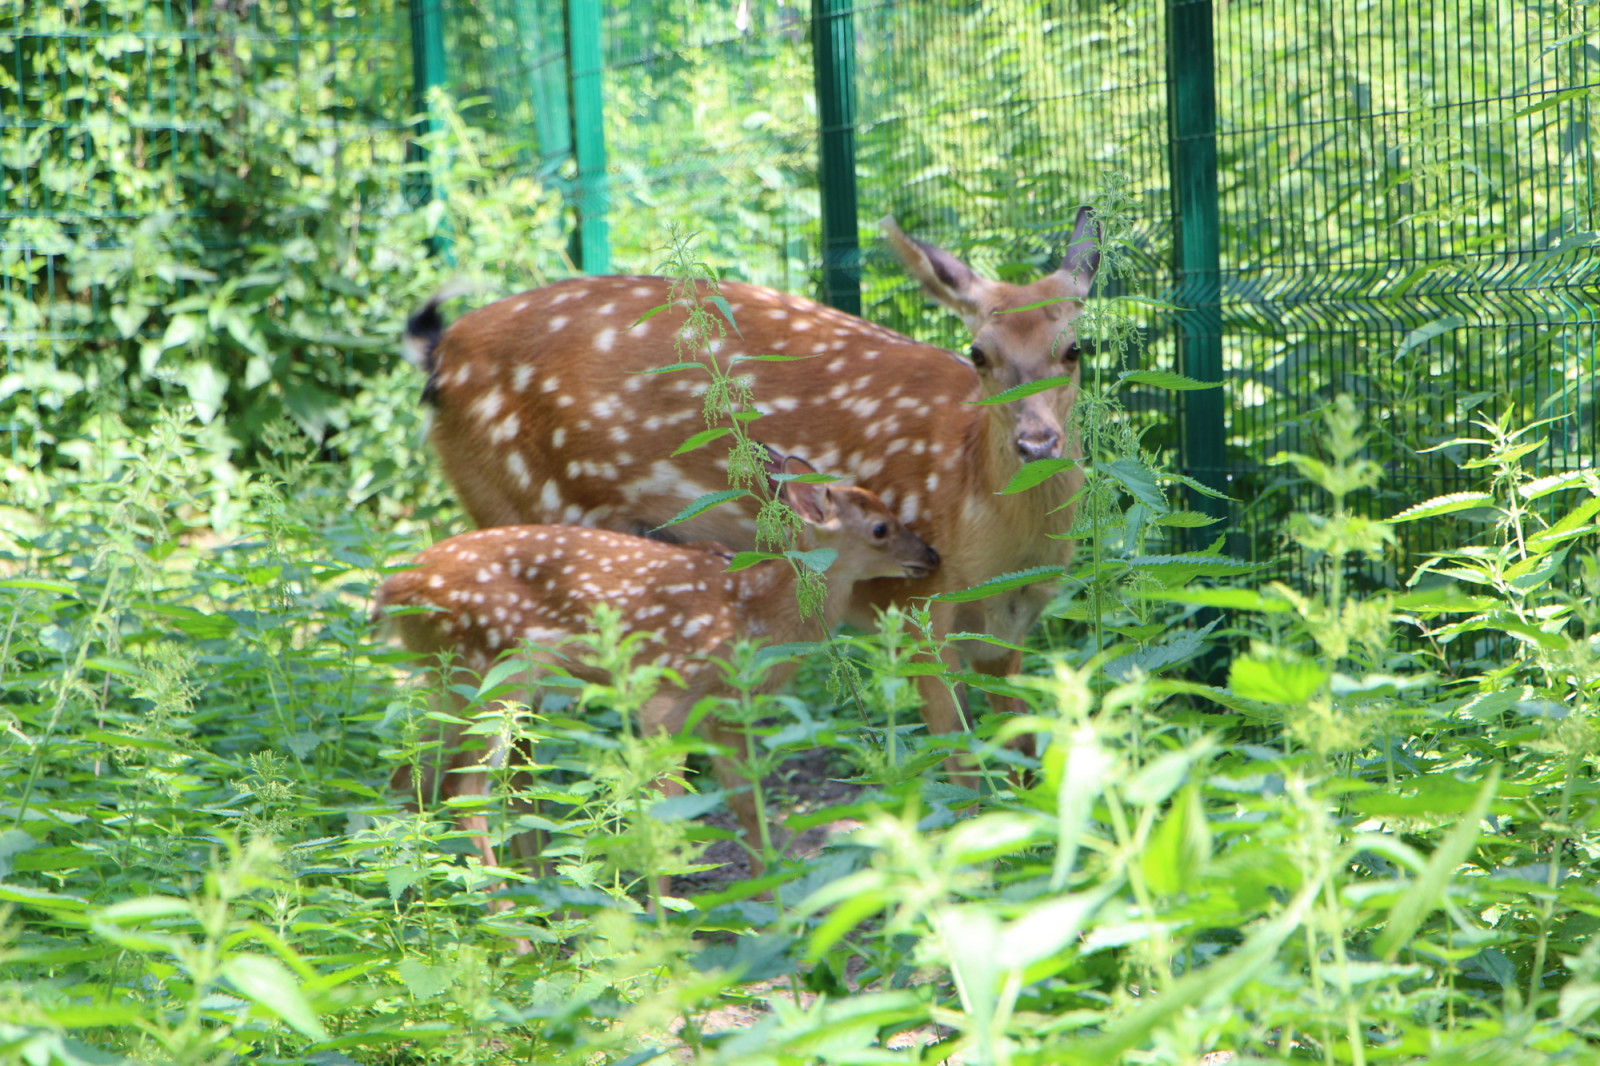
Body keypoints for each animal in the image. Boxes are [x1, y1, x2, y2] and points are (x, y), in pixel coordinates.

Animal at [372, 451, 934, 883]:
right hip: (495, 668)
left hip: (454, 681)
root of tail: (390, 591)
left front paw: (774, 907)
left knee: (409, 778)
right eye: (881, 528)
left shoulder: (725, 712)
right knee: (464, 790)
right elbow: (667, 815)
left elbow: (749, 808)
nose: (932, 555)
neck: (751, 613)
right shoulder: (666, 697)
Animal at [403, 208, 1100, 768]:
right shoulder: (919, 606)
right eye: (978, 353)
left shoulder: (1012, 625)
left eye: (1075, 348)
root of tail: (441, 354)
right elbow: (962, 767)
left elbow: (1021, 760)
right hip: (522, 524)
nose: (1037, 441)